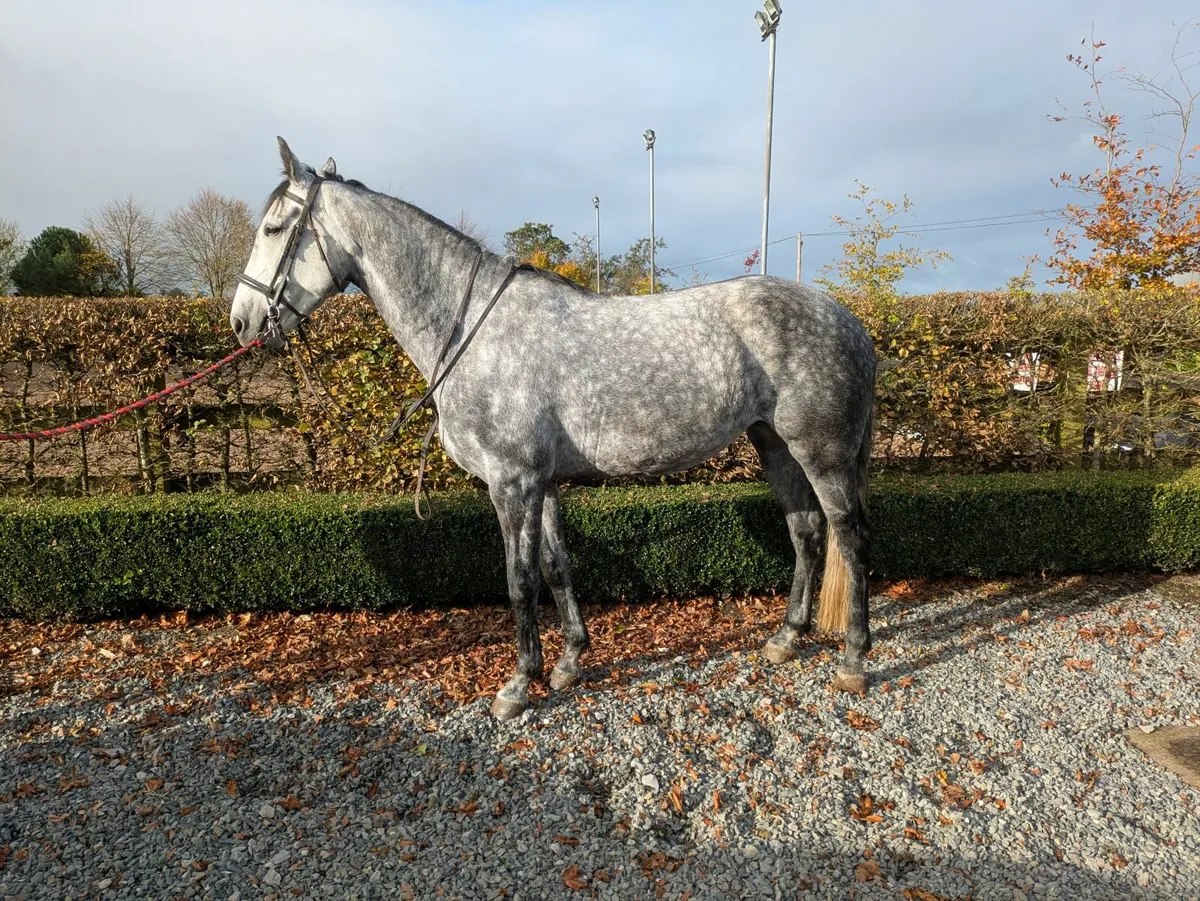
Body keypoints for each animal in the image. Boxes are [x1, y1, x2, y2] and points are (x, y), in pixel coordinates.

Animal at [231, 138, 877, 720]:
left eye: (273, 228)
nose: (241, 322)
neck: (473, 329)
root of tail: (848, 320)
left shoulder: (511, 482)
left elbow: (519, 581)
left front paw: (518, 686)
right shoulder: (543, 483)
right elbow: (556, 566)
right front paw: (568, 663)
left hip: (821, 454)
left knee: (849, 537)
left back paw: (854, 659)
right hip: (775, 447)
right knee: (806, 533)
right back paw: (787, 639)